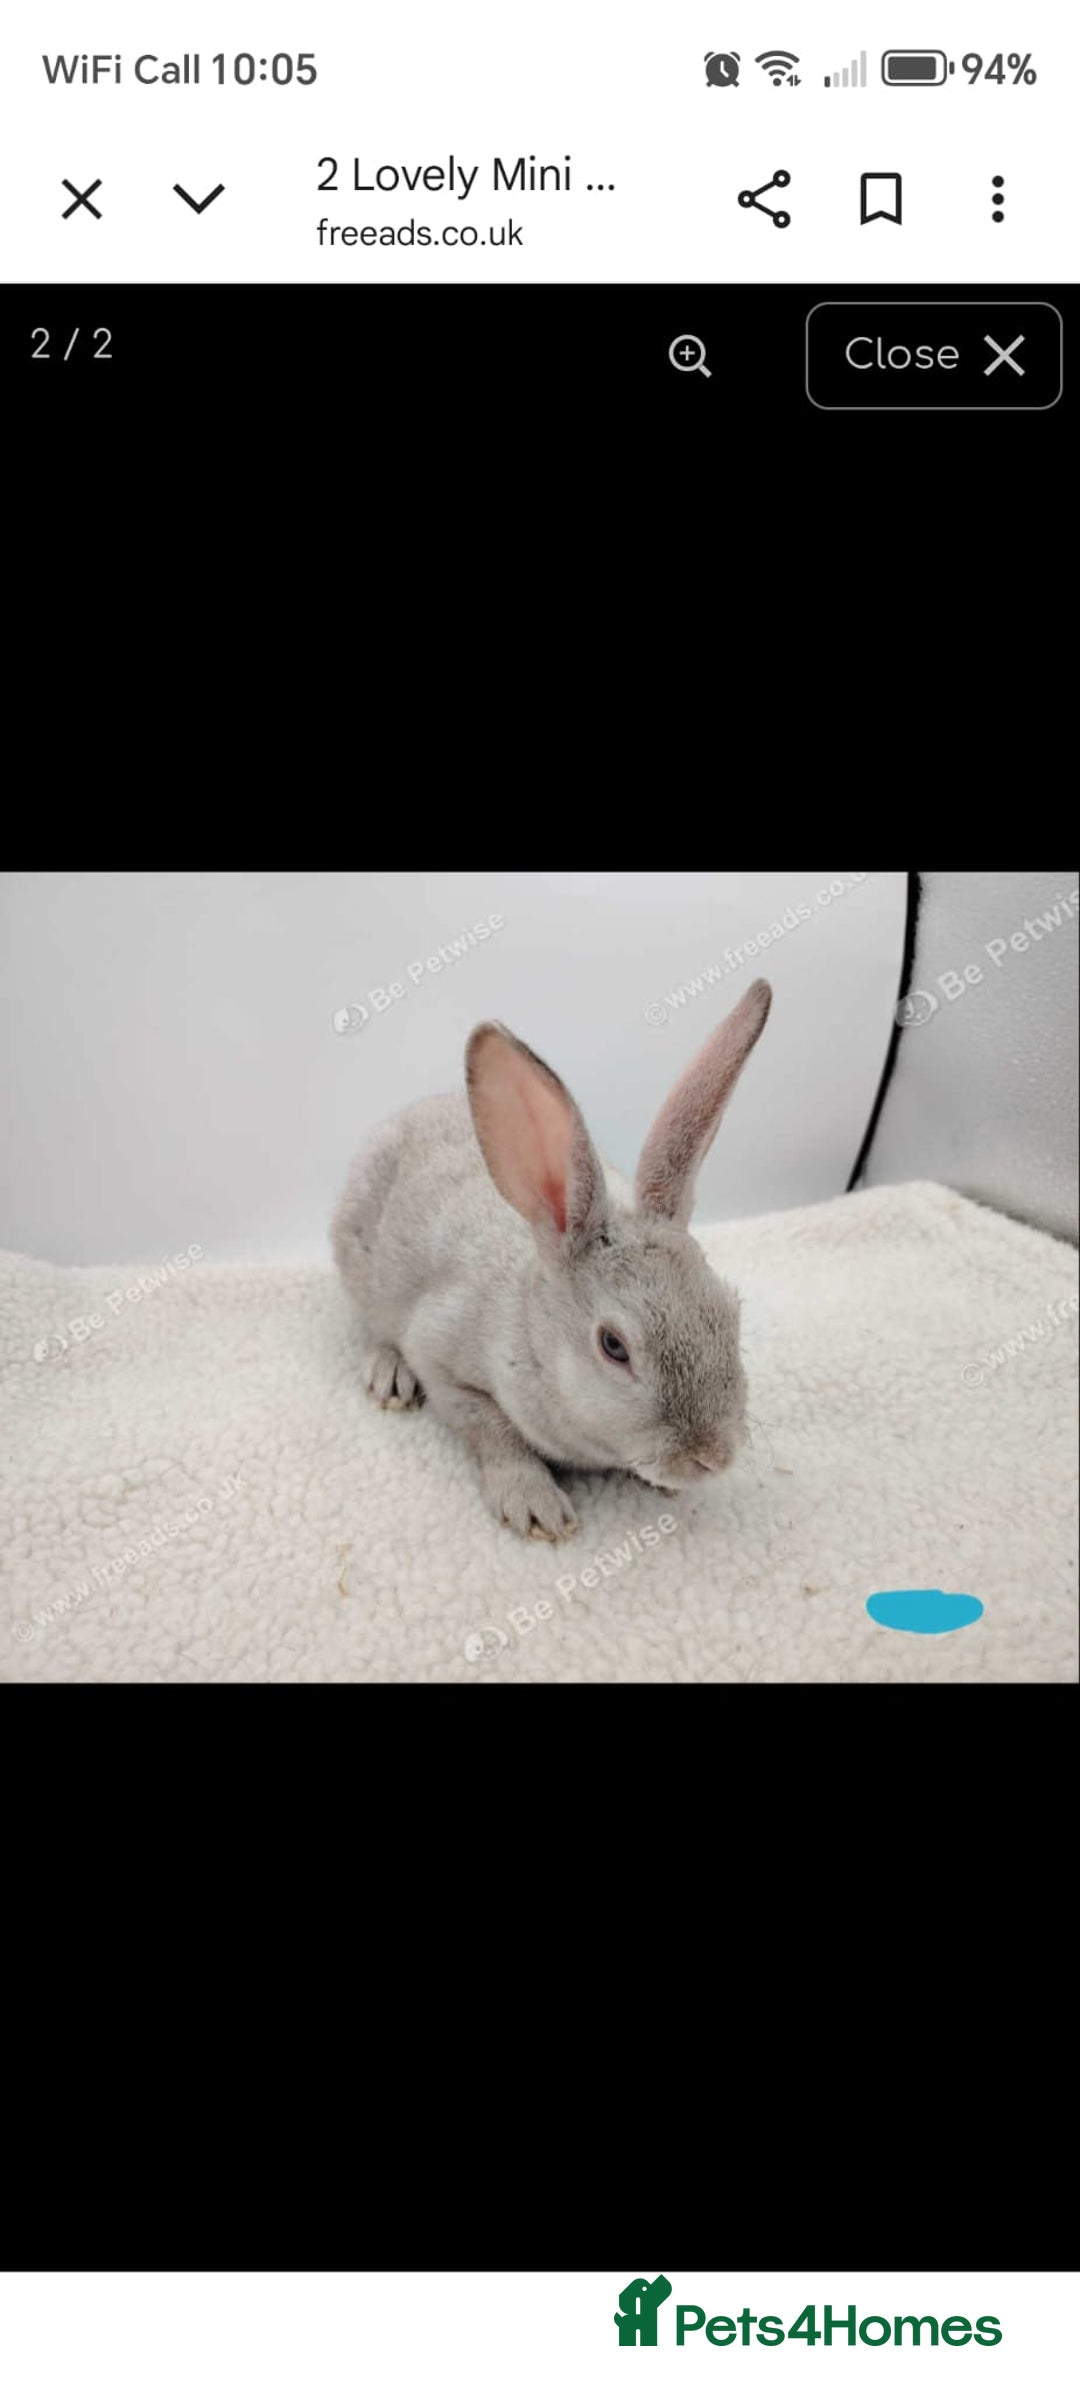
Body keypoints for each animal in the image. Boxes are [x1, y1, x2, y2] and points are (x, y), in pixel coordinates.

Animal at [332, 977, 772, 1540]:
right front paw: (537, 1508)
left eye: (730, 1313)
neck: (531, 1330)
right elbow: (495, 1431)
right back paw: (389, 1374)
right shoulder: (444, 1363)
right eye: (613, 1346)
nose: (713, 1456)